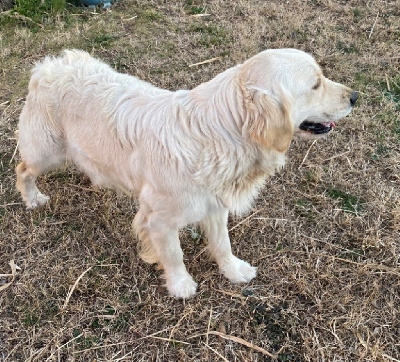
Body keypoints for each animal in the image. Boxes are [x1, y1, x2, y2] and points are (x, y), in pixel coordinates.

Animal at [17, 48, 358, 296]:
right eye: (315, 84)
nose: (355, 96)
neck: (222, 134)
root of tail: (47, 66)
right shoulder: (158, 220)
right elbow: (173, 255)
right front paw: (180, 286)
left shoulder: (215, 206)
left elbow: (222, 244)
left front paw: (233, 271)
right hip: (47, 152)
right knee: (23, 169)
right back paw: (32, 199)